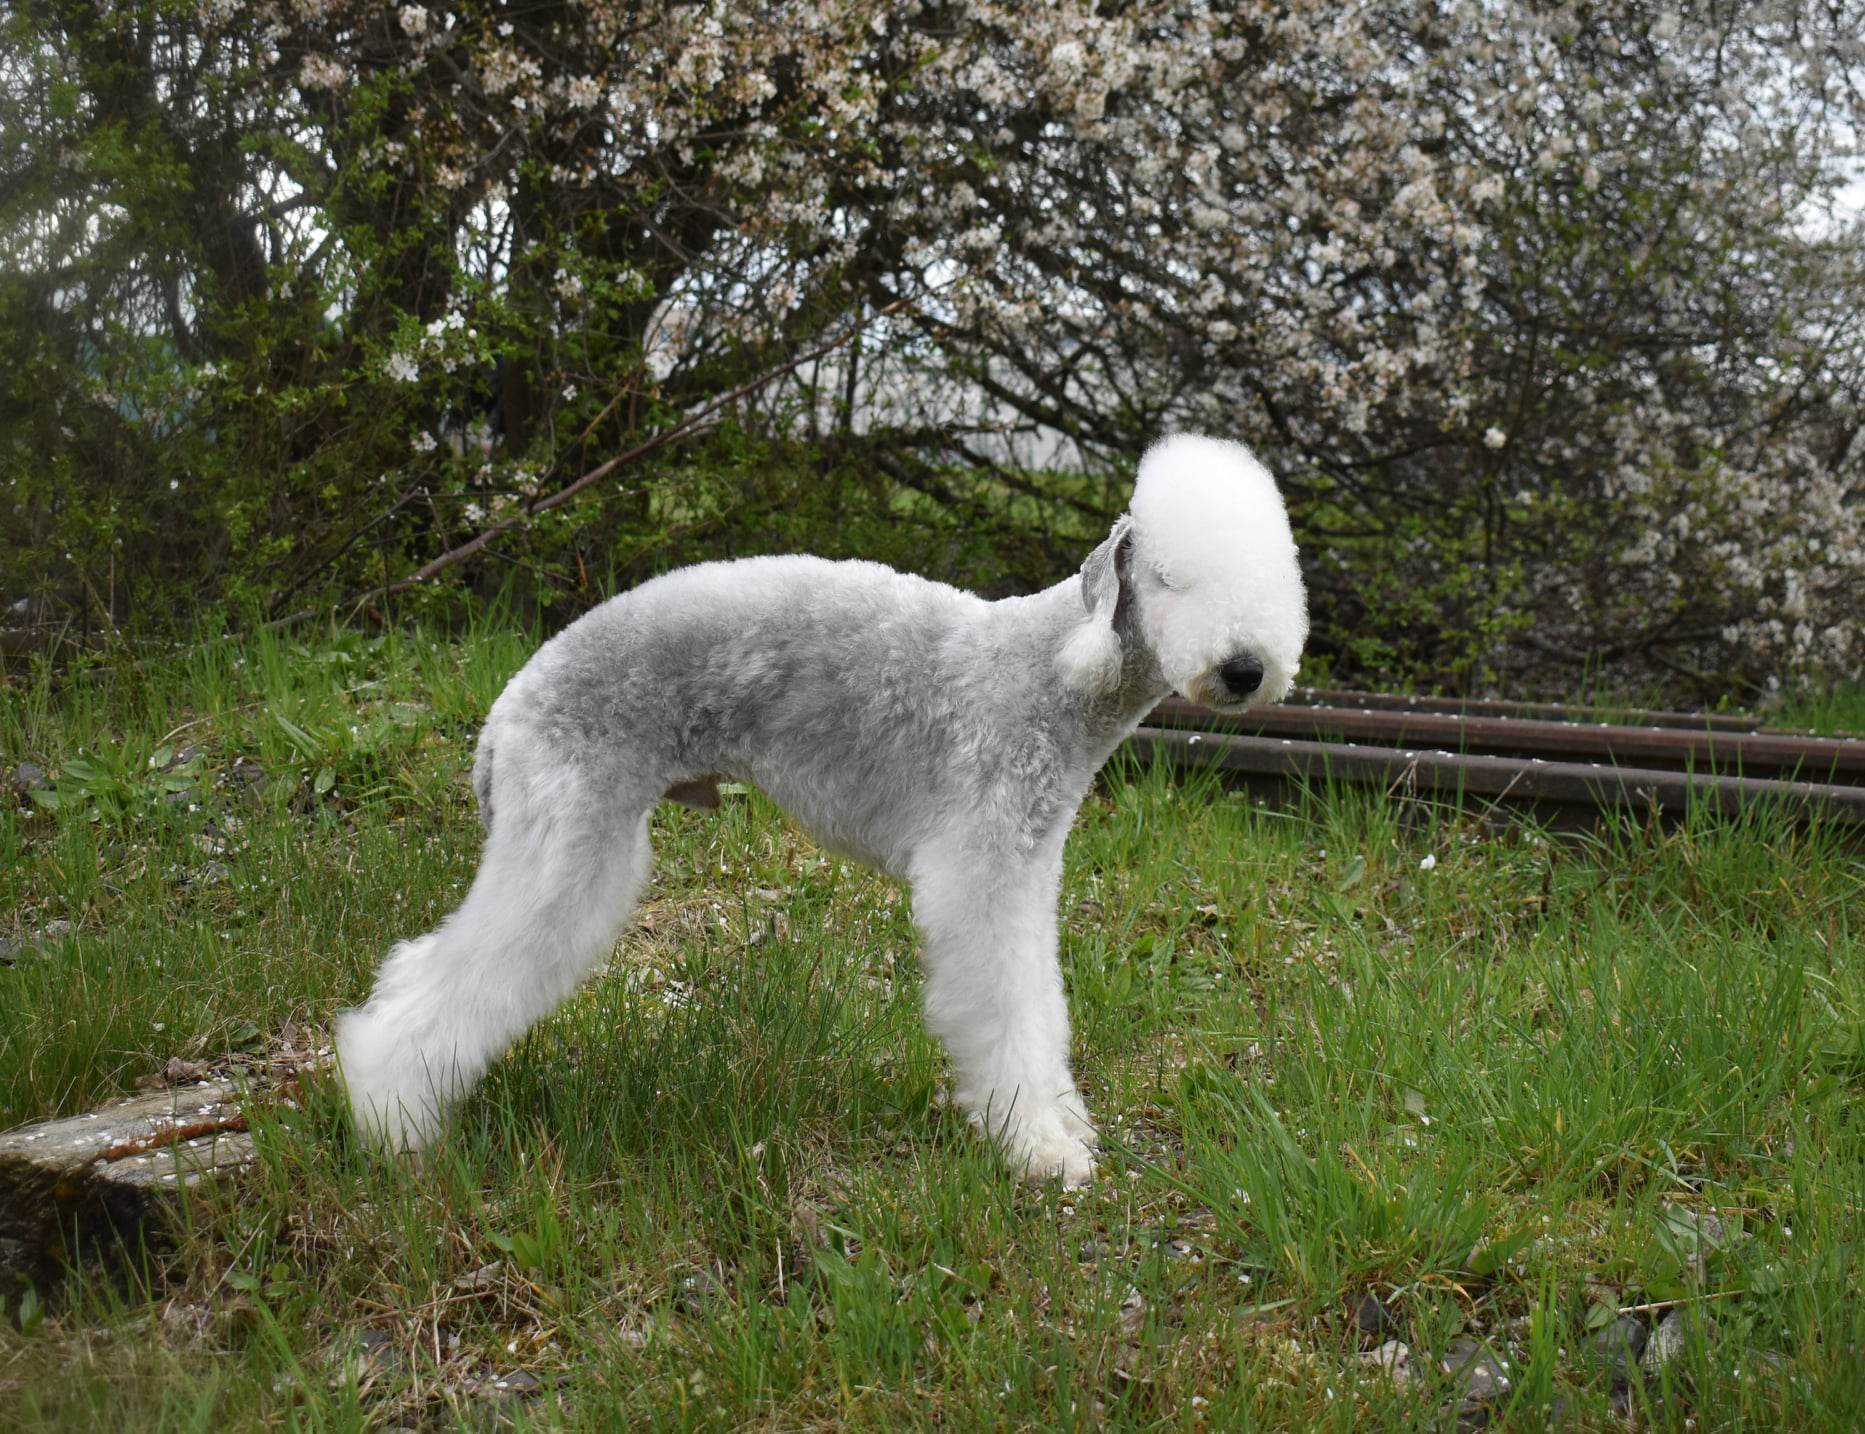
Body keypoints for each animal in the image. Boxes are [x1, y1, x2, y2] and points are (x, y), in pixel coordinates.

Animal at [339, 432, 1298, 1185]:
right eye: (1168, 578)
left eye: (1280, 577)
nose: (1245, 668)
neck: (1054, 674)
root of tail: (511, 703)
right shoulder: (979, 874)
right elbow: (1000, 1008)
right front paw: (1035, 1147)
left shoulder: (1025, 870)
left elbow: (1038, 1003)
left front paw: (1060, 1123)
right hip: (568, 835)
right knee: (455, 982)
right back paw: (391, 1121)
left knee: (421, 966)